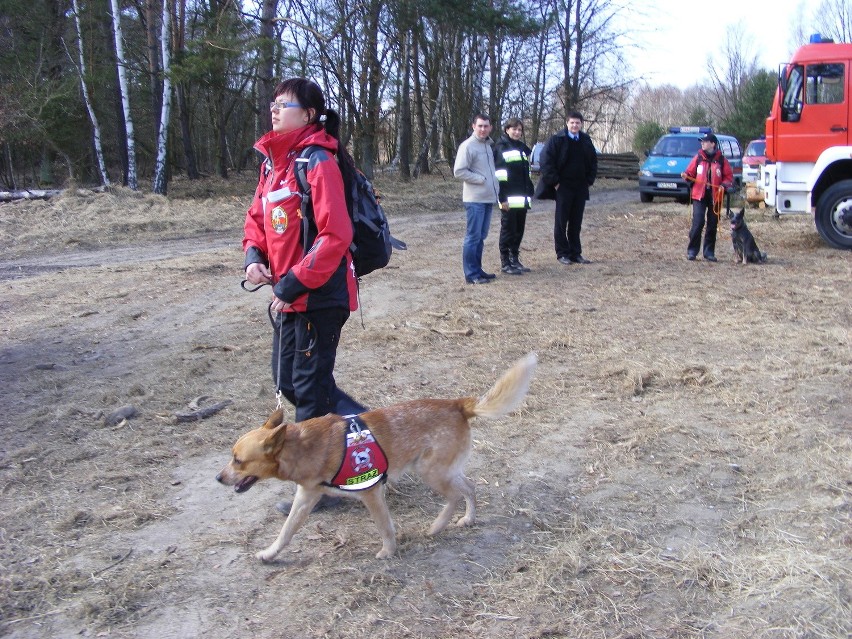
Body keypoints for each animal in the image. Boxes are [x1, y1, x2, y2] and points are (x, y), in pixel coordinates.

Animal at [218, 352, 540, 564]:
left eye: (238, 460)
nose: (218, 478)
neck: (304, 446)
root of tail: (458, 404)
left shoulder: (370, 492)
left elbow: (385, 526)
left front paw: (389, 551)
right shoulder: (306, 497)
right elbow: (286, 531)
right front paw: (269, 554)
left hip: (431, 472)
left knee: (454, 497)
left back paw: (437, 525)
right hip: (444, 470)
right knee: (470, 488)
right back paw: (467, 519)